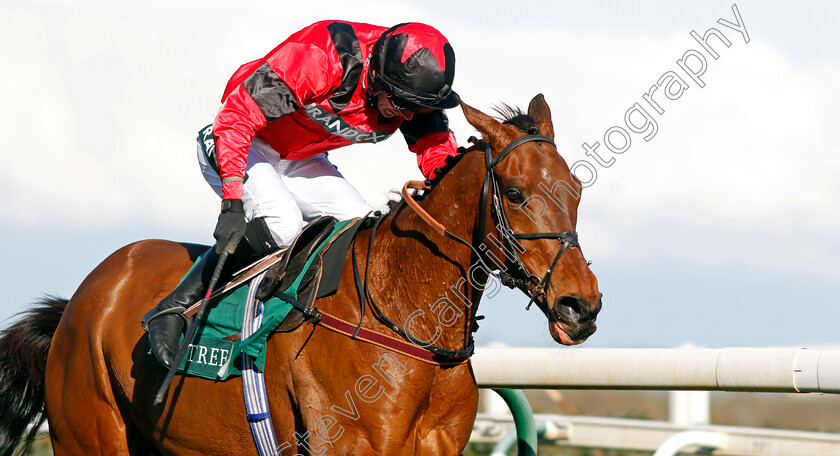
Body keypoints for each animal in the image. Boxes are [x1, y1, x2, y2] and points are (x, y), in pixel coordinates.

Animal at [0, 94, 600, 454]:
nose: (581, 306)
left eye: (576, 190)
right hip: (89, 432)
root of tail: (84, 298)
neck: (407, 321)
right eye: (515, 194)